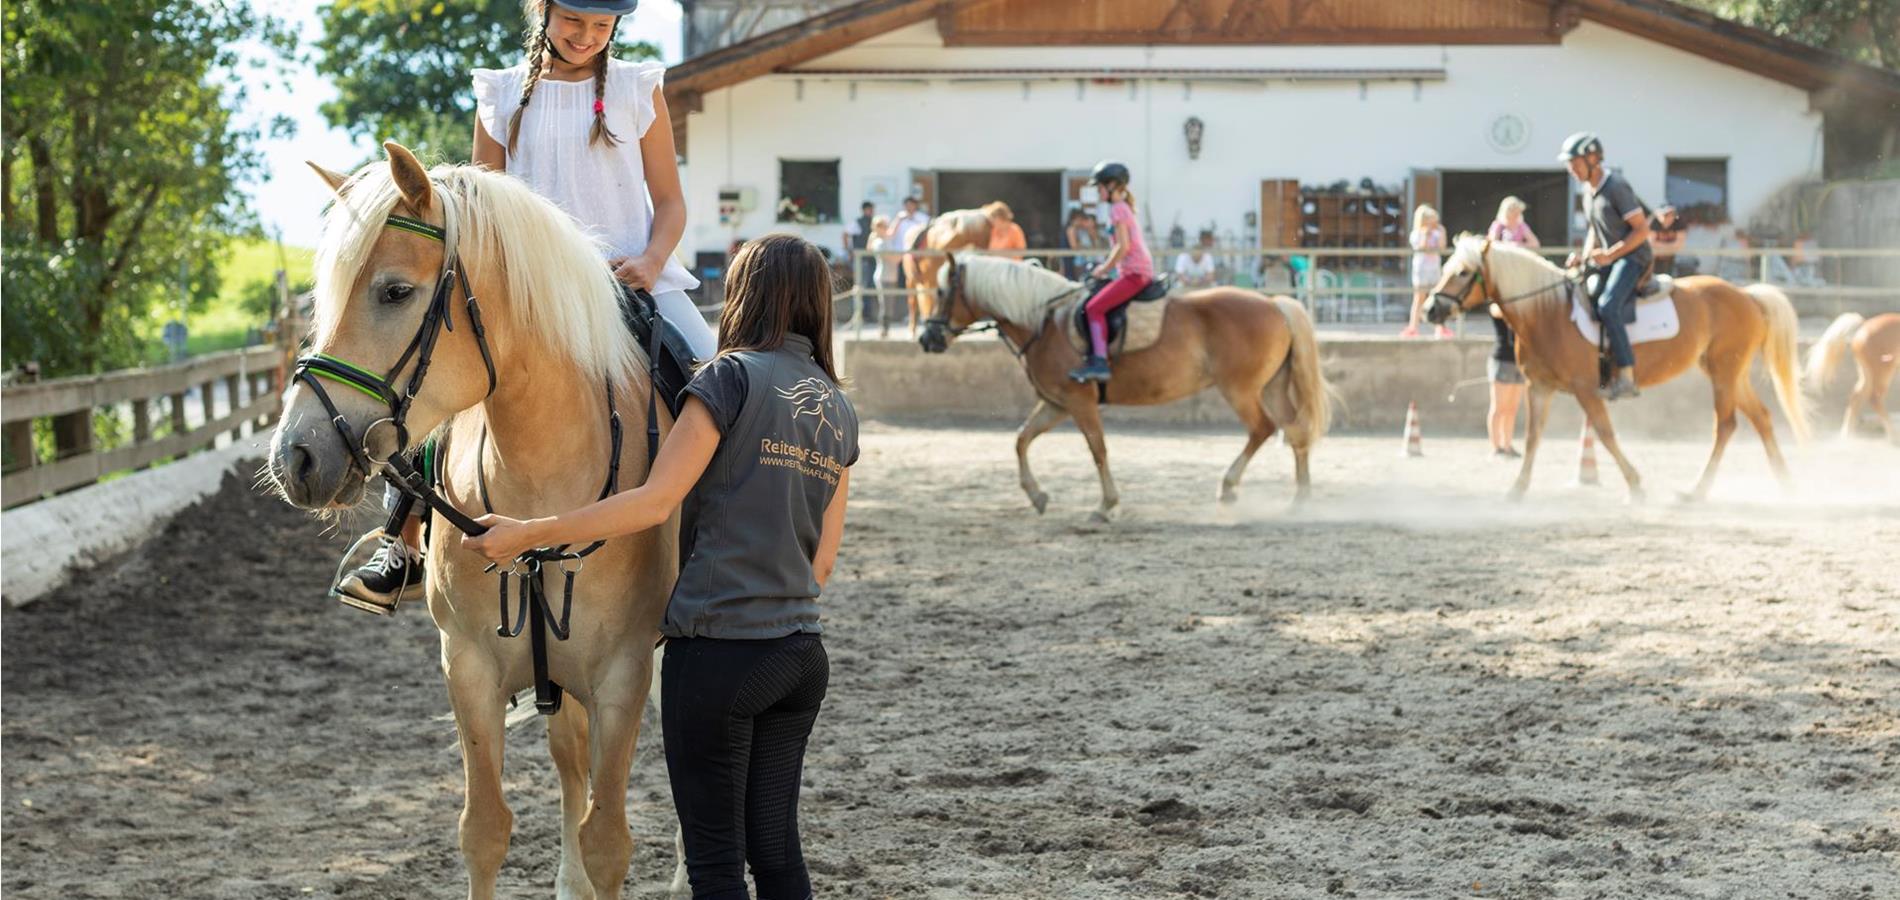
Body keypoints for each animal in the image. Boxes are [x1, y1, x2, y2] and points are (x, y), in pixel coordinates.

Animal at [264, 144, 680, 896]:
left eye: (395, 291)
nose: (295, 456)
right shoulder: (470, 666)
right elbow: (485, 830)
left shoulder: (624, 672)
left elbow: (609, 839)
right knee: (568, 755)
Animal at [912, 252, 1330, 520]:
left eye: (941, 292)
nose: (926, 339)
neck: (1045, 323)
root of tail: (1274, 304)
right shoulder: (1057, 403)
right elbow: (1021, 439)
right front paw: (1038, 496)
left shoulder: (1079, 403)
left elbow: (1098, 450)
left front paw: (1106, 504)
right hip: (1271, 386)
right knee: (1295, 431)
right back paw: (1300, 499)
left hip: (1240, 389)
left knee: (1263, 429)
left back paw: (1229, 487)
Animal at [1428, 235, 1808, 501]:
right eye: (1446, 269)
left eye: (1462, 273)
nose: (1432, 309)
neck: (1547, 313)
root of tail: (1748, 296)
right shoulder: (1539, 387)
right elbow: (1533, 437)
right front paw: (1517, 489)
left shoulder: (1584, 388)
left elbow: (1605, 434)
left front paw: (1636, 485)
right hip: (1728, 372)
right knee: (1761, 417)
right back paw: (1787, 484)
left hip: (1723, 373)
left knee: (1726, 426)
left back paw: (1696, 491)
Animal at [1808, 313, 1900, 442]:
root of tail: (1864, 324)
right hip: (1883, 372)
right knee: (1873, 398)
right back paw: (1892, 437)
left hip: (1868, 374)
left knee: (1856, 397)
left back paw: (1848, 435)